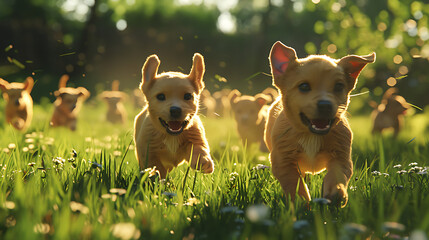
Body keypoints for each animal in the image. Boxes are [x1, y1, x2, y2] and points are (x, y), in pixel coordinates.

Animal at [264, 41, 374, 206]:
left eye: (339, 86)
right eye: (304, 86)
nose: (325, 105)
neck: (311, 136)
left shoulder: (341, 157)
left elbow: (336, 176)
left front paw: (336, 193)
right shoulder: (283, 162)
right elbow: (295, 184)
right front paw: (302, 203)